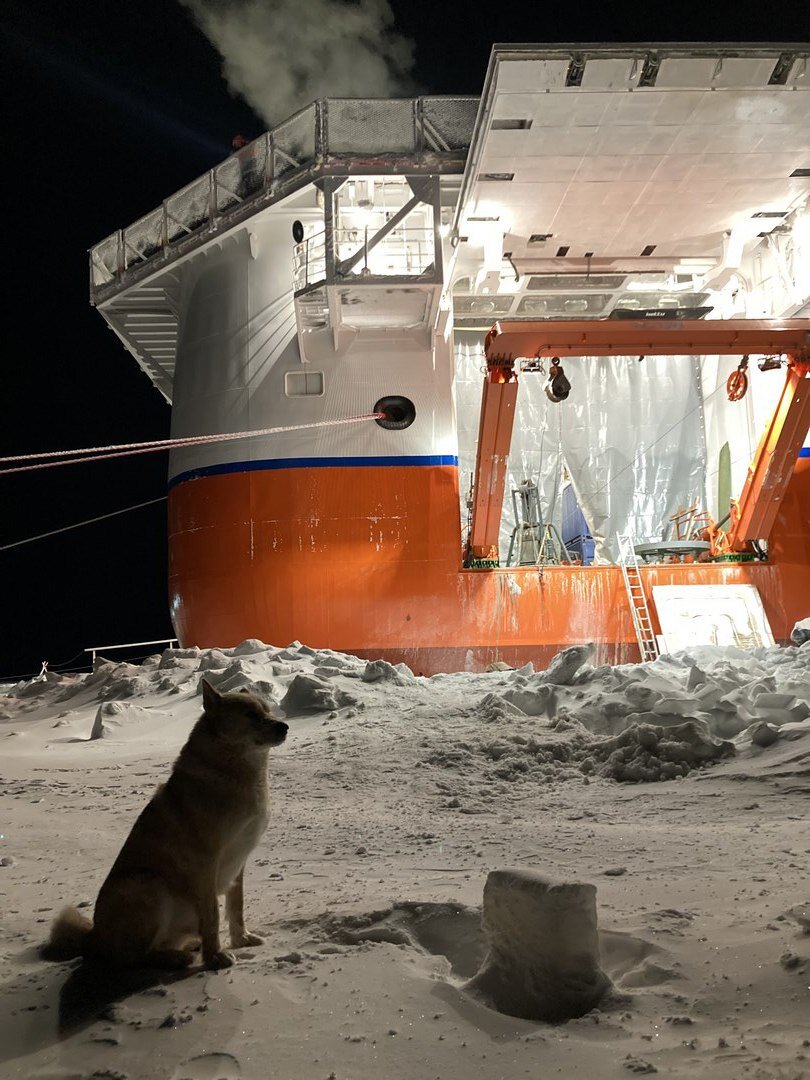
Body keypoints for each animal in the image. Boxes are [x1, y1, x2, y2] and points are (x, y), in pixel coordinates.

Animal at [45, 682, 289, 972]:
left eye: (268, 711)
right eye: (251, 715)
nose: (284, 726)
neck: (233, 771)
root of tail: (94, 938)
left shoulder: (238, 861)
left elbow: (235, 906)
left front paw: (241, 940)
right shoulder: (205, 864)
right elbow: (212, 916)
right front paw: (214, 958)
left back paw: (186, 947)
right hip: (148, 884)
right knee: (132, 958)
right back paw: (176, 958)